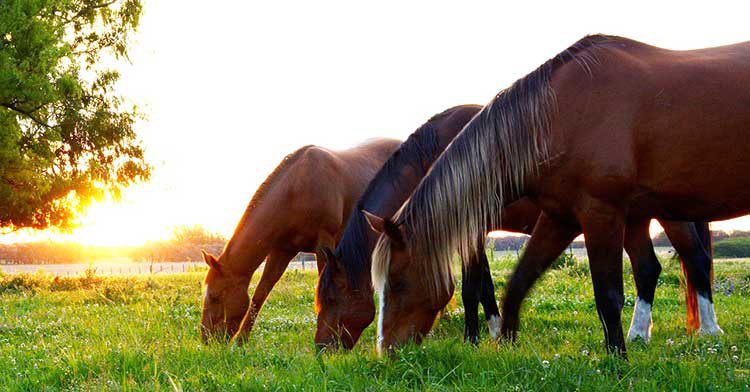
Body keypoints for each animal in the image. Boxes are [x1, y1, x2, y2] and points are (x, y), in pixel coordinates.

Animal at [197, 138, 402, 344]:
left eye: (215, 297)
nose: (207, 339)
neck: (296, 190)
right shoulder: (282, 250)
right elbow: (260, 293)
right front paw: (241, 341)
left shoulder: (324, 244)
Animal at [316, 105, 716, 350]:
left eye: (332, 299)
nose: (322, 349)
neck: (439, 154)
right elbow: (485, 286)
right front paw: (495, 331)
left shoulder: (471, 229)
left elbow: (473, 288)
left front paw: (475, 338)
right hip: (634, 218)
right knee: (648, 268)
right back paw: (638, 335)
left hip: (666, 216)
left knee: (695, 260)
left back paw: (708, 332)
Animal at [370, 35, 750, 356]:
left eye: (399, 283)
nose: (386, 351)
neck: (559, 115)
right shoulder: (560, 217)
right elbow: (518, 282)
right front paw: (504, 344)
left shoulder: (599, 213)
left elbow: (607, 295)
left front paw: (616, 361)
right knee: (650, 268)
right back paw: (640, 335)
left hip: (668, 216)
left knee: (695, 260)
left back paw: (708, 333)